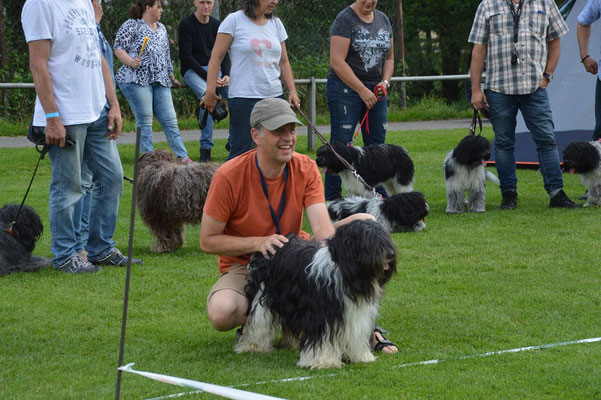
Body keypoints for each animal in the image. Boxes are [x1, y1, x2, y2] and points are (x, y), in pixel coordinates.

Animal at [236, 220, 398, 370]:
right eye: (369, 241)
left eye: (385, 238)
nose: (390, 255)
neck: (345, 274)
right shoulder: (322, 314)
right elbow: (323, 339)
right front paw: (323, 361)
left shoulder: (354, 313)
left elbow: (354, 333)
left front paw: (359, 356)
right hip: (263, 296)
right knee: (259, 322)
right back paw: (253, 345)